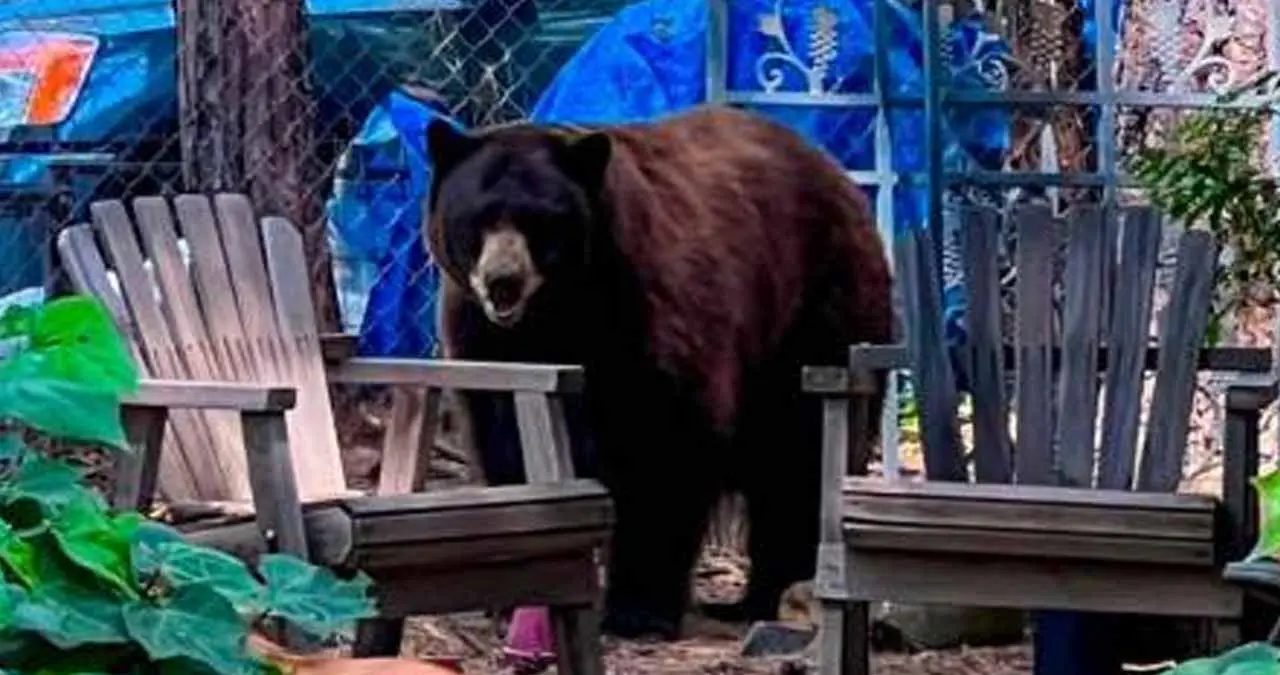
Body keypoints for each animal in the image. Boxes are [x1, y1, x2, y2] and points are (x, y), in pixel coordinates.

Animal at [424, 104, 893, 640]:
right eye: (477, 217)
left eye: (540, 221)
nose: (503, 281)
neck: (558, 313)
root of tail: (840, 177)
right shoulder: (485, 338)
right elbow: (506, 439)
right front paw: (516, 599)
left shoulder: (646, 309)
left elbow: (662, 445)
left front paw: (638, 610)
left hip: (812, 314)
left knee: (797, 456)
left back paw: (773, 592)